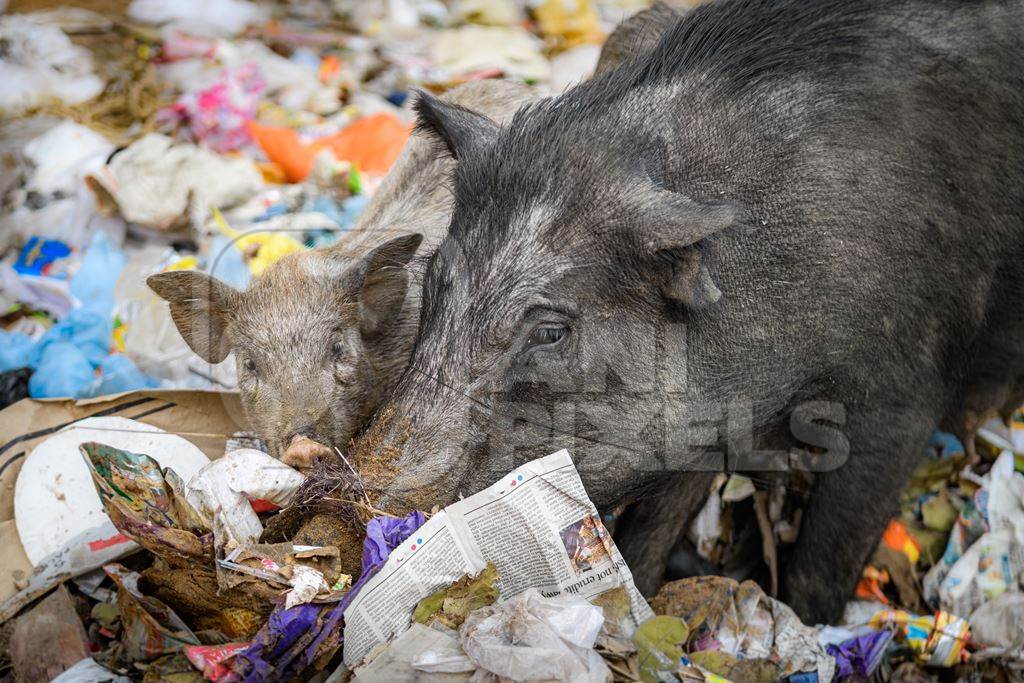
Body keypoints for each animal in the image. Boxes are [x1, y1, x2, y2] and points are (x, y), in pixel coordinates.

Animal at [354, 0, 1024, 622]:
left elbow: (821, 566)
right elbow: (653, 523)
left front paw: (806, 631)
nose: (356, 496)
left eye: (549, 331)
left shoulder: (908, 392)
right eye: (435, 281)